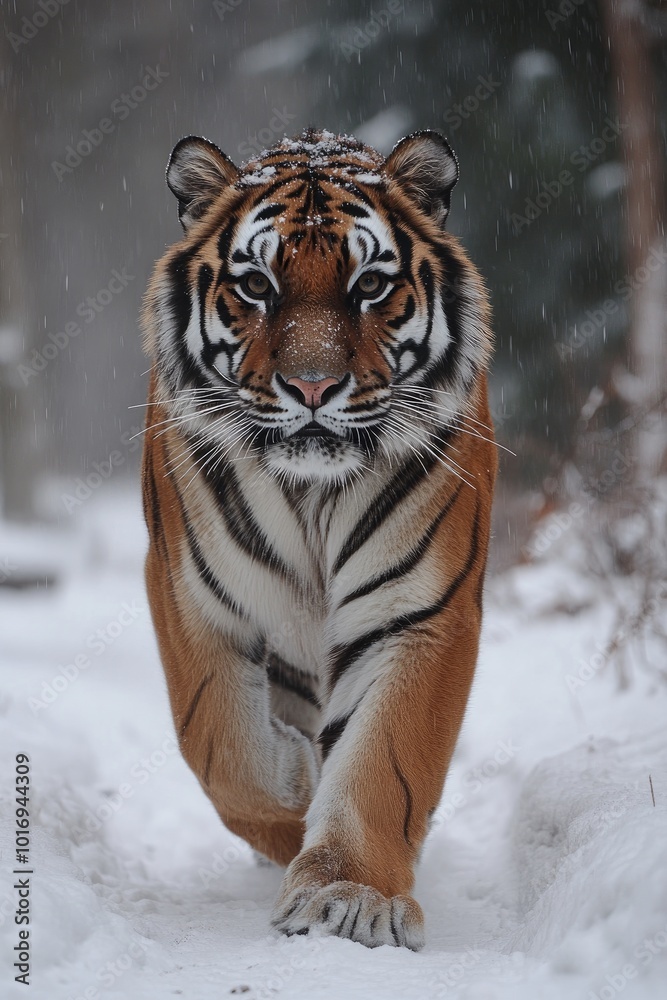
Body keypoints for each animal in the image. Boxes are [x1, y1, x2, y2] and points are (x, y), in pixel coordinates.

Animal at [140, 127, 497, 951]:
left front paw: (350, 896)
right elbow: (224, 748)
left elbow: (384, 758)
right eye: (255, 286)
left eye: (368, 285)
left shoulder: (419, 612)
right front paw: (299, 784)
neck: (309, 495)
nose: (310, 387)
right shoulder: (188, 597)